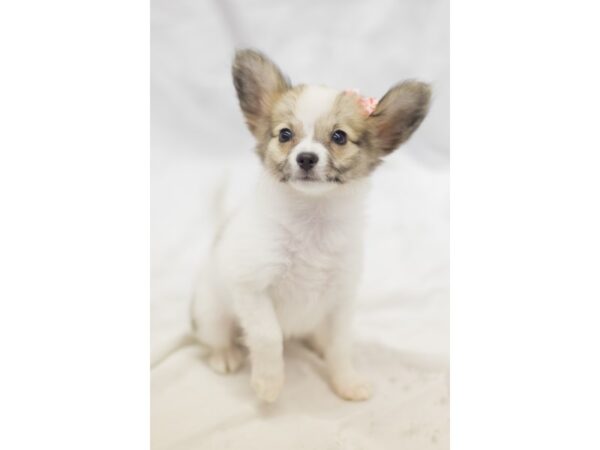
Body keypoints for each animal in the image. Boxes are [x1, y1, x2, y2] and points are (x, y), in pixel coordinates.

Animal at [192, 50, 432, 404]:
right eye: (284, 135)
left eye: (339, 137)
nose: (306, 158)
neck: (312, 221)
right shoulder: (252, 288)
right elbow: (268, 337)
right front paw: (268, 382)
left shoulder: (341, 298)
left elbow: (341, 346)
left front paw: (345, 381)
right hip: (212, 312)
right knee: (217, 336)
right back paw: (225, 355)